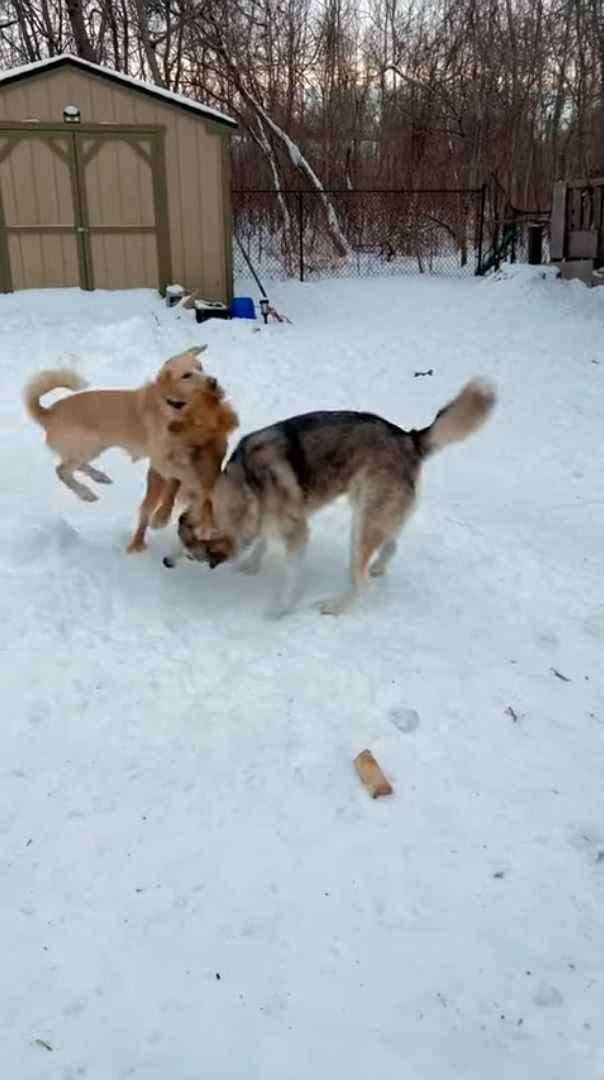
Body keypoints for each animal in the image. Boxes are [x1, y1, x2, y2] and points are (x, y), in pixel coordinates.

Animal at [166, 380, 497, 617]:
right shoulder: (267, 519)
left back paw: (336, 606)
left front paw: (281, 610)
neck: (248, 484)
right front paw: (250, 566)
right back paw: (378, 567)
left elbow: (291, 578)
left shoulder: (297, 534)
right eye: (180, 540)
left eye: (190, 551)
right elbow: (261, 541)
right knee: (391, 544)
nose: (166, 562)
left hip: (362, 526)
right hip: (373, 515)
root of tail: (409, 438)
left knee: (360, 580)